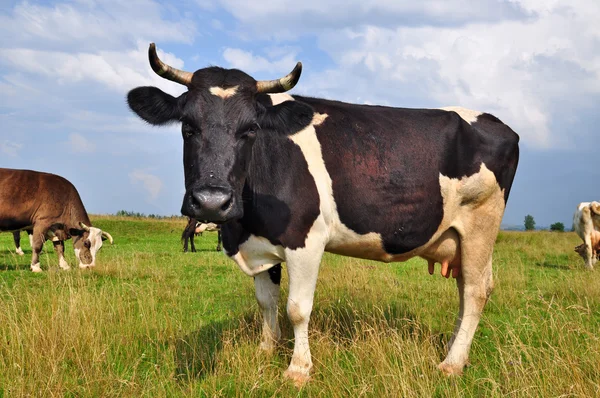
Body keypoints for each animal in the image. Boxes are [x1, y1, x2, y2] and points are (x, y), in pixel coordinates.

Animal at [127, 42, 520, 382]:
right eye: (187, 127)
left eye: (250, 129)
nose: (211, 201)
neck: (242, 227)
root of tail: (501, 125)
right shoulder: (260, 244)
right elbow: (266, 301)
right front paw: (266, 350)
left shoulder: (306, 240)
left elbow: (297, 308)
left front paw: (298, 369)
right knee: (464, 289)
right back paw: (458, 353)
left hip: (481, 224)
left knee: (476, 291)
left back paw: (451, 363)